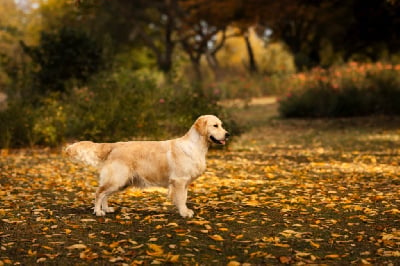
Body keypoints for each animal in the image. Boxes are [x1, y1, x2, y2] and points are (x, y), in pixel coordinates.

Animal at [65, 115, 228, 218]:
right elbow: (181, 199)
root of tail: (114, 145)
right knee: (99, 192)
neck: (196, 146)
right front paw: (184, 212)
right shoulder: (179, 181)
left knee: (105, 194)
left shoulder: (184, 183)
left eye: (222, 125)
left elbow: (184, 197)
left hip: (121, 182)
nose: (228, 134)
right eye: (215, 125)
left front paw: (184, 210)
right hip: (117, 178)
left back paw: (106, 208)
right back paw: (98, 211)